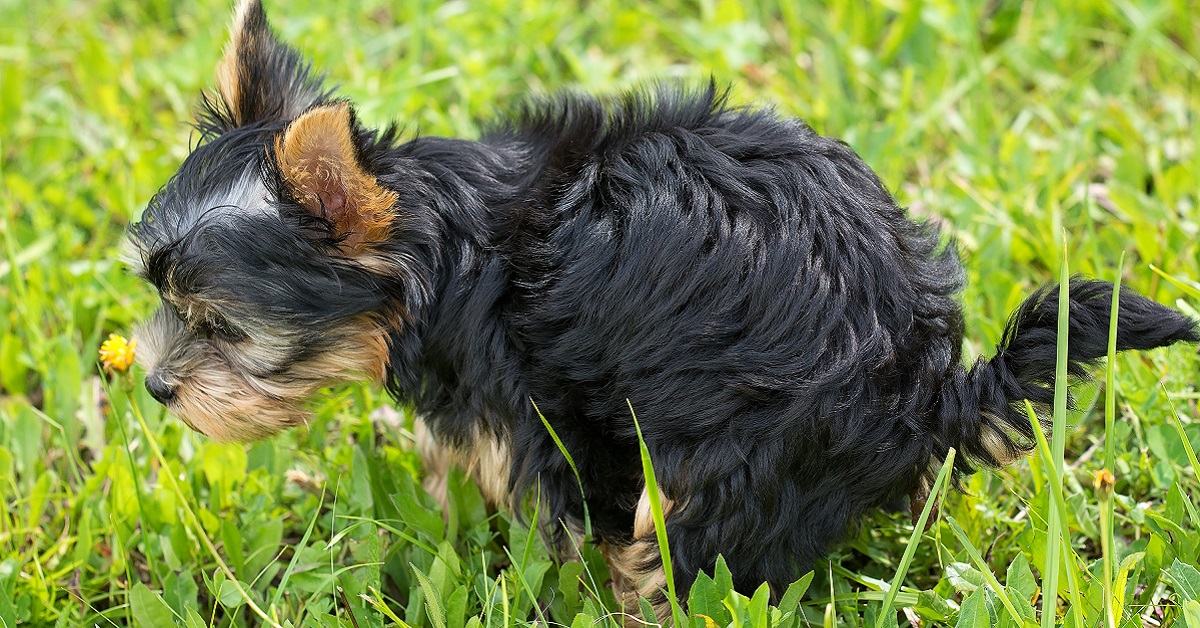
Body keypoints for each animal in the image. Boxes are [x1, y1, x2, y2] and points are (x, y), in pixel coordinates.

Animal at [126, 0, 1195, 619]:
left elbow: (549, 504)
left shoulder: (539, 405)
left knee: (692, 549)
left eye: (223, 327)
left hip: (738, 456)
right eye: (163, 300)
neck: (445, 245)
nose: (156, 387)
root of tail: (930, 389)